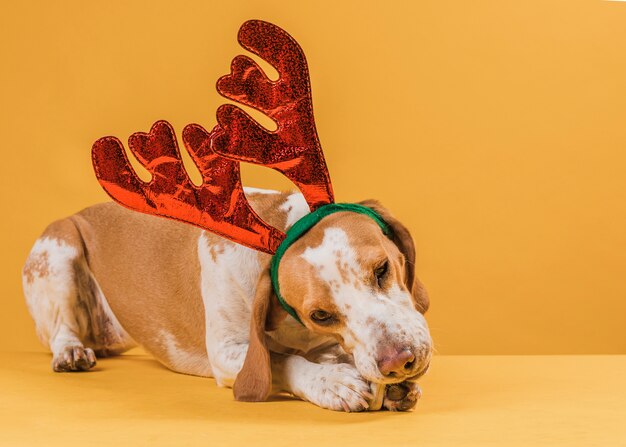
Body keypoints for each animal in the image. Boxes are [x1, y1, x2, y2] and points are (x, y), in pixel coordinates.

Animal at [20, 187, 428, 412]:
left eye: (381, 269)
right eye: (321, 314)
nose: (399, 362)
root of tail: (79, 212)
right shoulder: (226, 351)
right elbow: (277, 361)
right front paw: (333, 382)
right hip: (59, 249)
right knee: (62, 330)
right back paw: (70, 352)